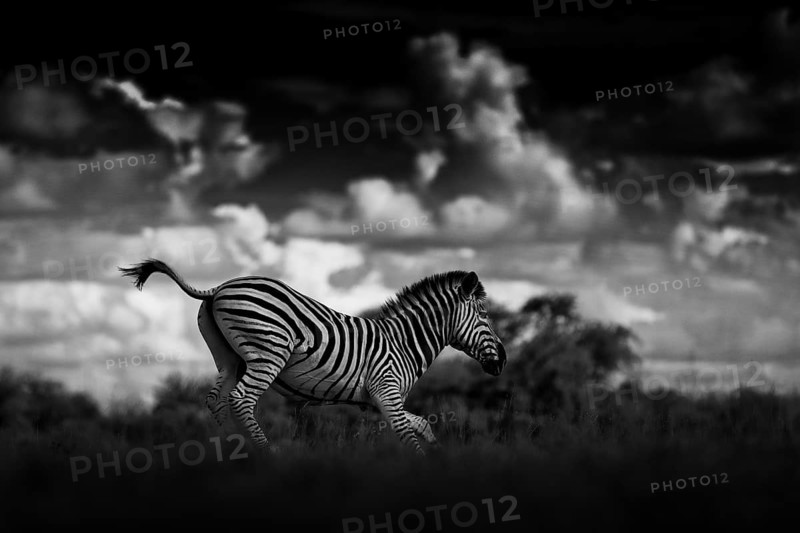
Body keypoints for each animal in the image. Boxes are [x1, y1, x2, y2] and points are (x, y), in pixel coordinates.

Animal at [119, 259, 506, 453]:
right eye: (485, 315)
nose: (502, 361)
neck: (403, 342)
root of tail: (219, 287)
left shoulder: (375, 400)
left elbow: (421, 425)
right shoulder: (386, 390)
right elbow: (407, 435)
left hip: (229, 359)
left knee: (216, 400)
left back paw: (235, 452)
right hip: (268, 352)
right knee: (240, 399)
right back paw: (266, 455)